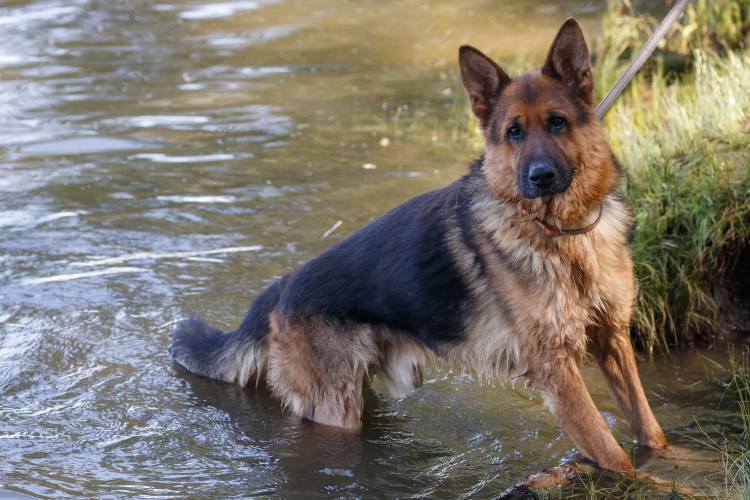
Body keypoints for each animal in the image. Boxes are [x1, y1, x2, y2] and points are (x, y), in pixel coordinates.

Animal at [172, 18, 668, 472]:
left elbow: (649, 428)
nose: (540, 177)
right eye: (514, 132)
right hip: (336, 408)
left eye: (557, 123)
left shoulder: (613, 340)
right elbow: (612, 452)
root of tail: (283, 287)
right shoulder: (557, 370)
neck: (561, 232)